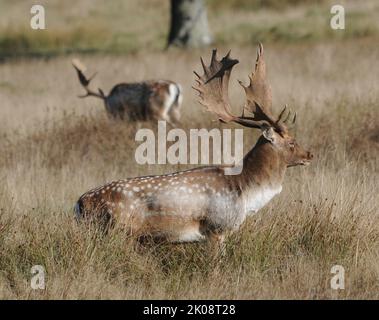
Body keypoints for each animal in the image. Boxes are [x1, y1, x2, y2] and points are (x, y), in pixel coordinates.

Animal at [74, 43, 314, 246]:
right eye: (292, 142)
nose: (310, 154)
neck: (245, 191)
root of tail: (80, 203)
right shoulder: (217, 227)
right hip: (117, 229)